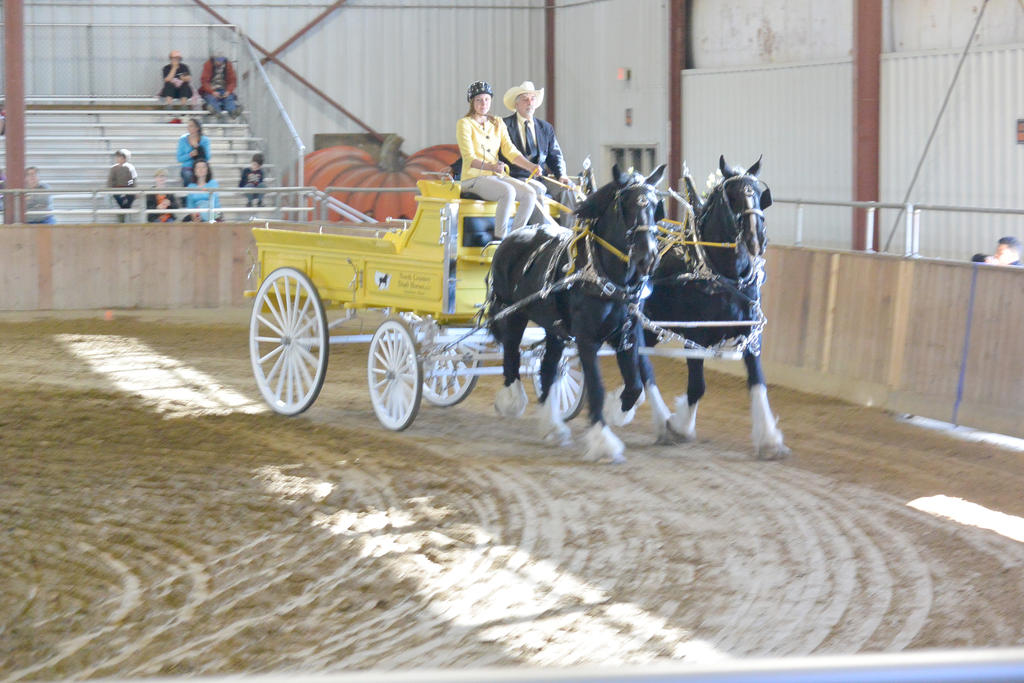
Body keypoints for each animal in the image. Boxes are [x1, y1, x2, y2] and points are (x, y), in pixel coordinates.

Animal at [485, 165, 663, 464]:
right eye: (626, 205)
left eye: (654, 205)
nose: (647, 257)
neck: (604, 275)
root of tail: (510, 236)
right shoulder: (586, 339)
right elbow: (597, 387)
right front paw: (603, 441)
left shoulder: (627, 335)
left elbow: (636, 384)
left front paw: (619, 410)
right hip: (512, 313)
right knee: (511, 356)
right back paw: (511, 401)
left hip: (553, 327)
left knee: (547, 368)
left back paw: (552, 425)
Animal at [634, 156, 786, 458]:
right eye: (733, 196)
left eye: (758, 194)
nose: (757, 238)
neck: (721, 274)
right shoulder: (695, 335)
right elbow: (697, 387)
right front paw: (679, 426)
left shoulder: (750, 333)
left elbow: (758, 382)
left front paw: (769, 439)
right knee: (641, 365)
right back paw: (657, 419)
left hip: (651, 328)